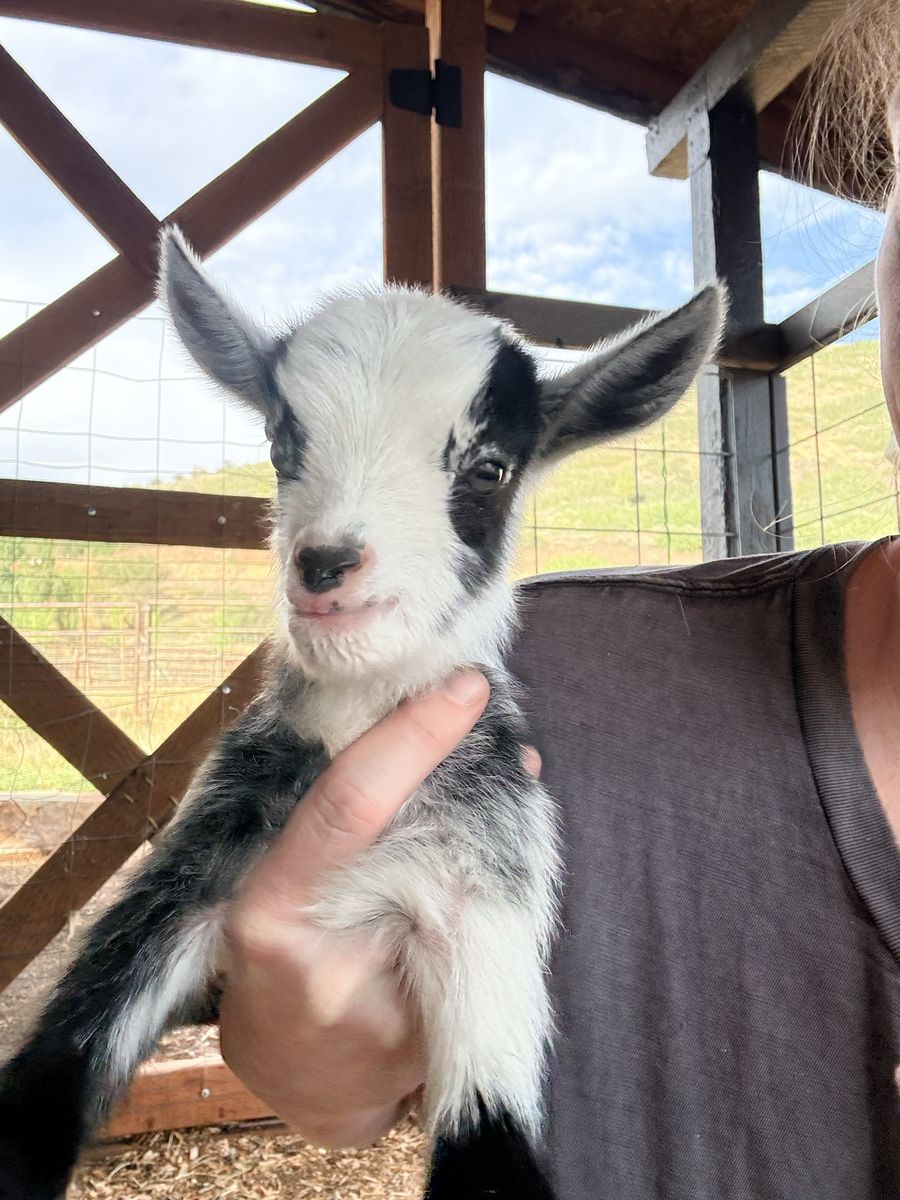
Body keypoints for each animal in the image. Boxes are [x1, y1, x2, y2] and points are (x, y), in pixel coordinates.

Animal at [0, 228, 722, 1199]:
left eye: (489, 467)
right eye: (279, 443)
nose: (326, 564)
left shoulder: (485, 892)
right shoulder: (194, 867)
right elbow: (47, 1079)